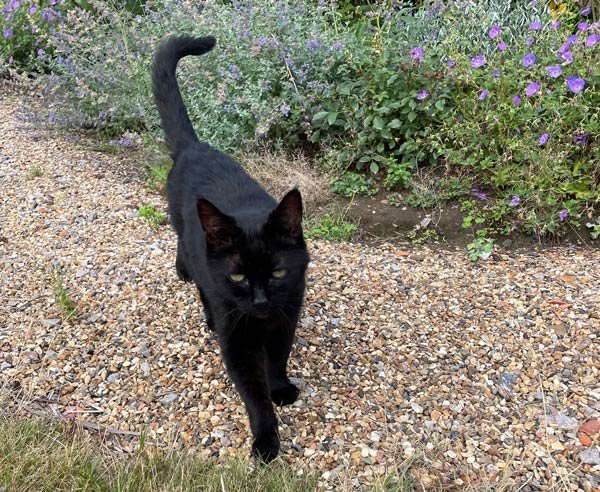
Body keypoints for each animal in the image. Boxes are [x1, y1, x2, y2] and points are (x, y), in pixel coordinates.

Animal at [151, 36, 310, 464]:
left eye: (277, 272)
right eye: (238, 275)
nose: (259, 302)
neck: (261, 323)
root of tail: (194, 147)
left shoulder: (287, 314)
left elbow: (278, 358)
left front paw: (281, 387)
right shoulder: (236, 341)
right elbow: (253, 394)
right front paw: (266, 441)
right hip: (192, 242)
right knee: (191, 262)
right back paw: (190, 284)